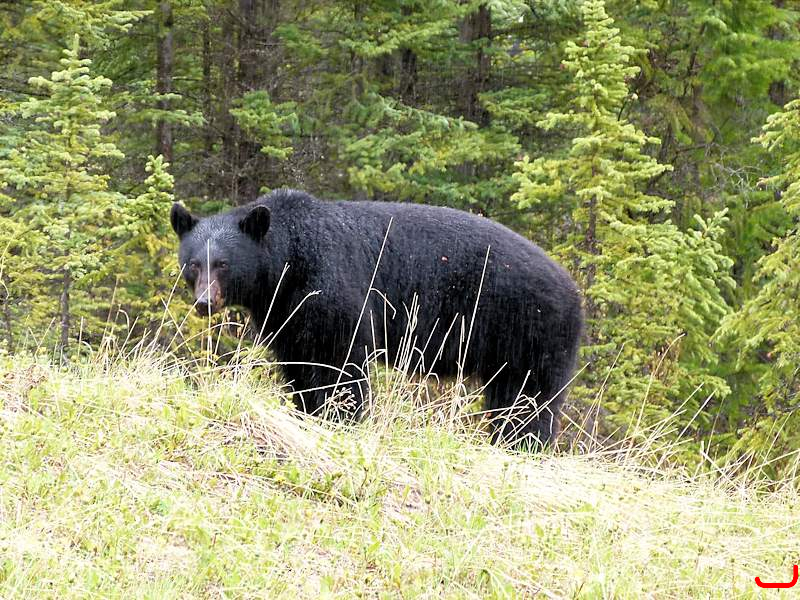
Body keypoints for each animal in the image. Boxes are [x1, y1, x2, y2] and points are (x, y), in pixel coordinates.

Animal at [170, 189, 582, 448]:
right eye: (193, 264)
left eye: (224, 264)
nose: (205, 302)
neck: (288, 262)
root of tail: (573, 290)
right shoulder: (286, 311)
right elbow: (300, 361)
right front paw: (308, 412)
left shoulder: (333, 285)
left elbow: (340, 359)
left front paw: (341, 418)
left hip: (529, 327)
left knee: (530, 397)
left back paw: (524, 443)